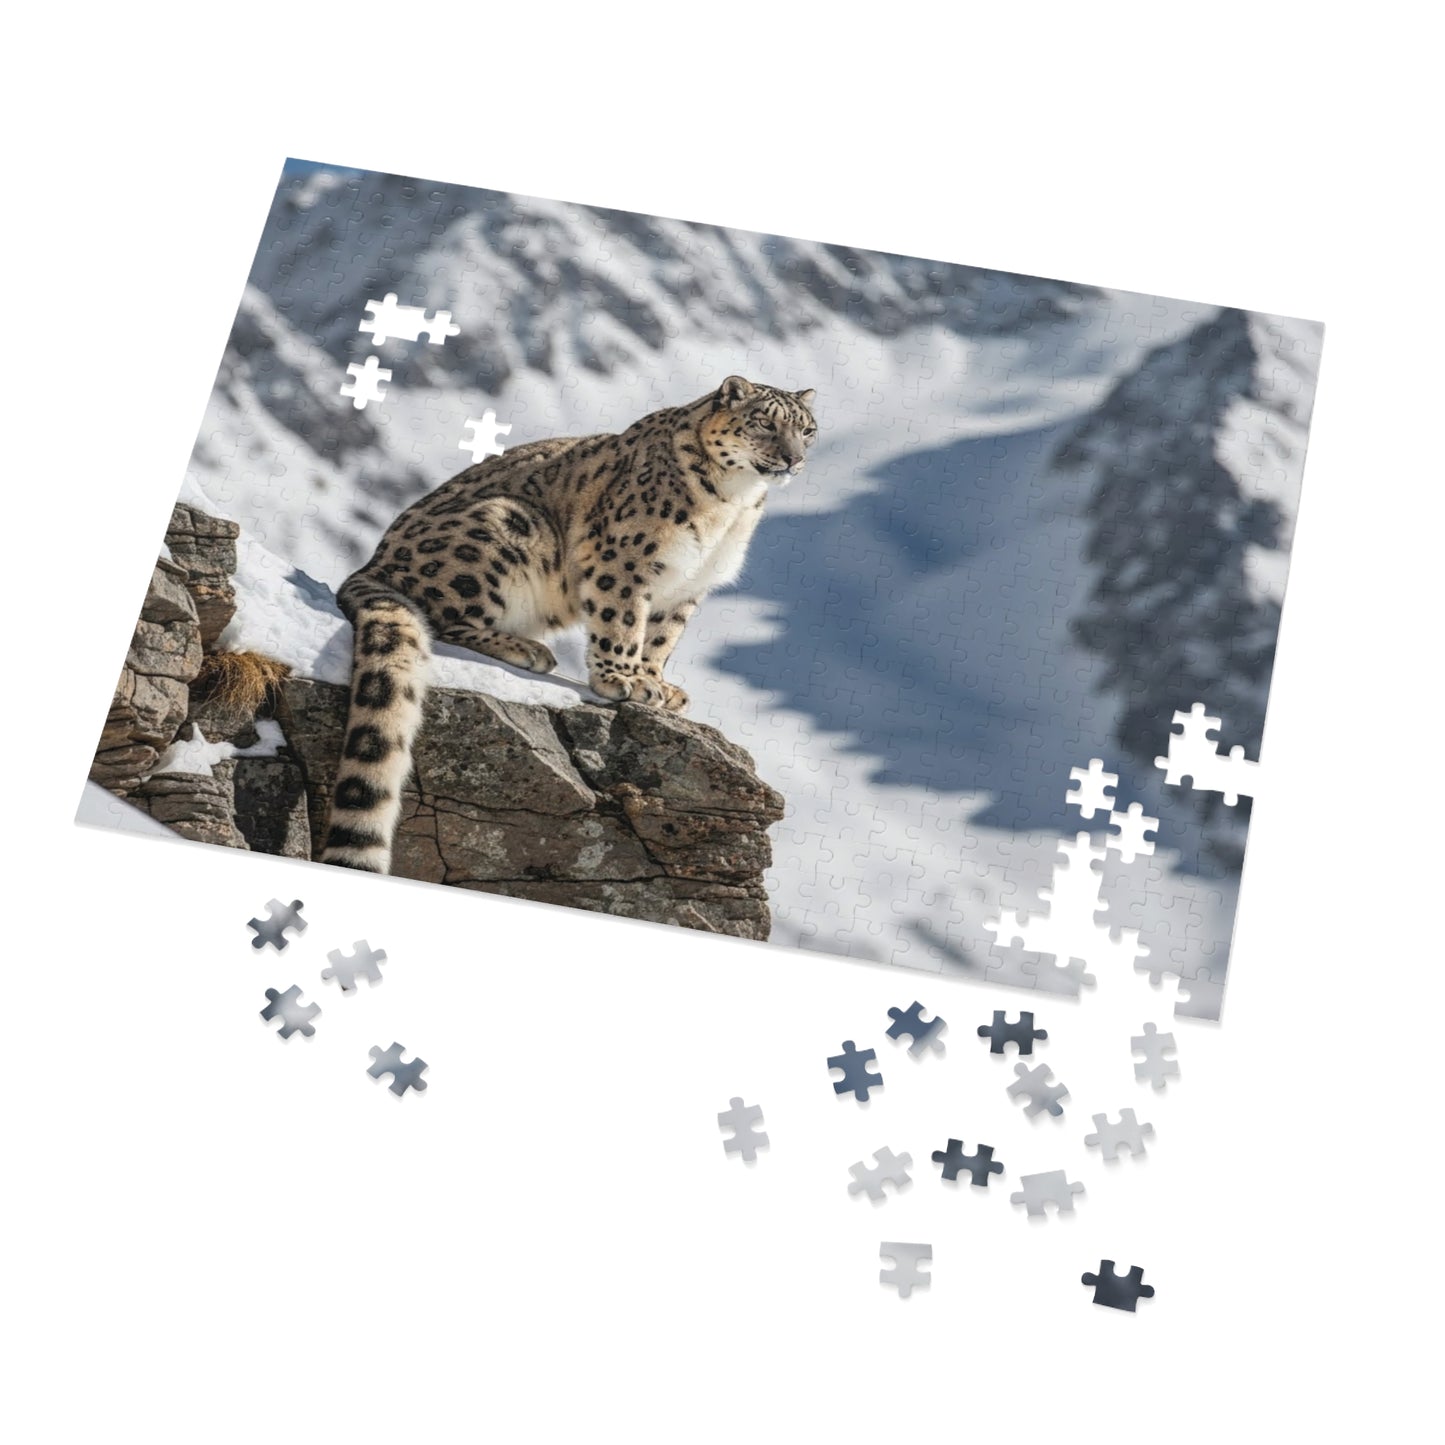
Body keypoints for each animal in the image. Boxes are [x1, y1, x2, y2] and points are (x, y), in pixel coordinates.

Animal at [319, 375, 818, 873]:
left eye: (807, 429)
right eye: (765, 422)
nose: (793, 458)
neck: (733, 504)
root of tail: (374, 562)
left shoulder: (685, 589)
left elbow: (660, 638)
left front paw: (658, 685)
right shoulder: (624, 561)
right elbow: (622, 620)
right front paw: (622, 679)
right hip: (504, 527)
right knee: (441, 618)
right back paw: (528, 649)